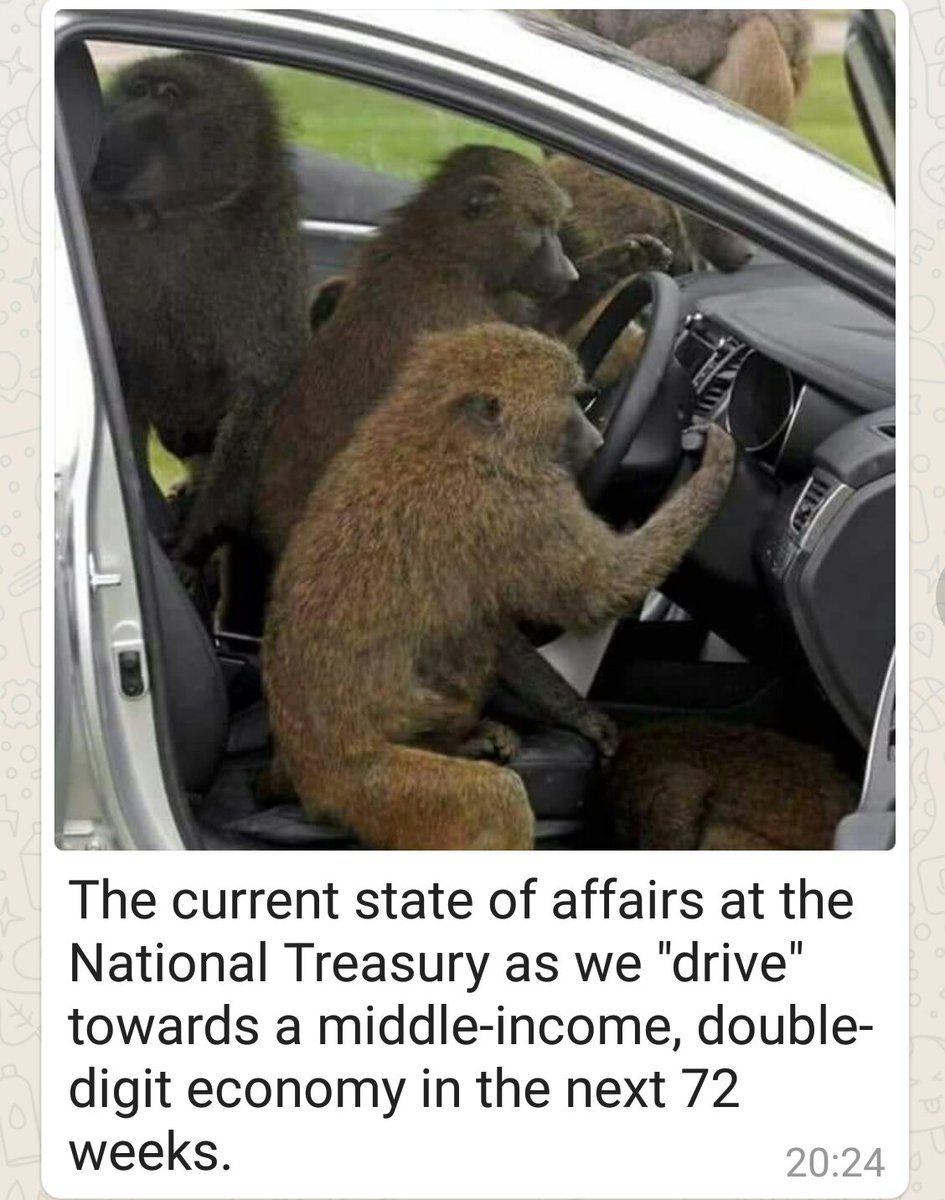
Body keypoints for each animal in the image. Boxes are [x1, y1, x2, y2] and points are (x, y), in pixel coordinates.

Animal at [84, 51, 308, 573]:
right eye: (137, 89)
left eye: (169, 96)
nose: (111, 119)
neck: (173, 215)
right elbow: (122, 375)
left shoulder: (266, 249)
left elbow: (261, 386)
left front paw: (202, 533)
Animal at [260, 323, 736, 850]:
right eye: (570, 400)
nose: (597, 436)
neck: (450, 436)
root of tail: (304, 773)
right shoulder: (519, 505)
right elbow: (604, 588)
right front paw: (718, 464)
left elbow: (503, 627)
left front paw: (585, 719)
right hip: (369, 788)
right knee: (497, 801)